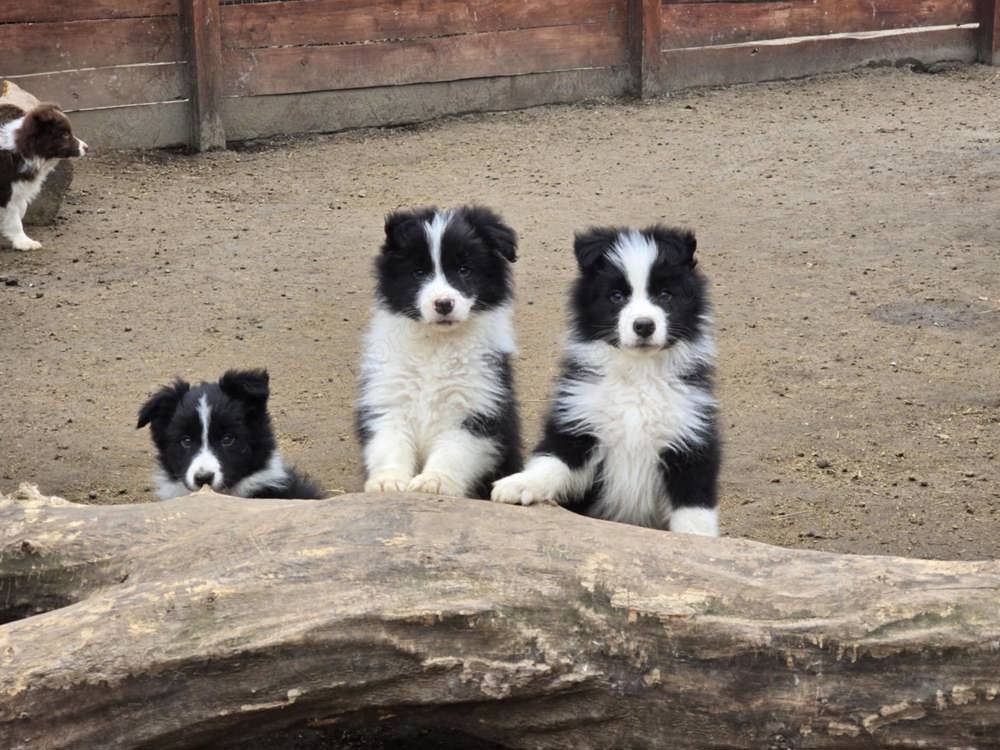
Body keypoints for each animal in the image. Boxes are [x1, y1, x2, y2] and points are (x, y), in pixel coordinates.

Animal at [0, 98, 88, 251]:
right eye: (65, 135)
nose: (86, 148)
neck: (22, 149)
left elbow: (22, 207)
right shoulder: (6, 192)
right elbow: (14, 218)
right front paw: (24, 242)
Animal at [356, 204, 524, 500]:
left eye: (464, 269)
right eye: (418, 273)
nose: (443, 304)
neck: (435, 345)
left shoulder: (474, 407)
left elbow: (454, 450)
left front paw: (434, 482)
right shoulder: (389, 396)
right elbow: (389, 442)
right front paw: (388, 482)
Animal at [490, 226, 720, 536]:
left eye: (665, 294)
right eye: (616, 296)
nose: (644, 326)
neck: (638, 375)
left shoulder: (691, 444)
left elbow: (694, 512)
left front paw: (699, 540)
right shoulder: (578, 427)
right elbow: (551, 462)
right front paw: (518, 484)